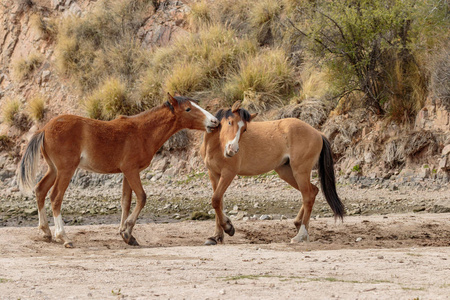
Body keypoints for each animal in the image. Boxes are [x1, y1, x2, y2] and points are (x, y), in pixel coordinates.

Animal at [18, 94, 219, 248]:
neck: (142, 131)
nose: (214, 121)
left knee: (40, 190)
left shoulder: (126, 173)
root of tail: (45, 128)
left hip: (53, 169)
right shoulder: (131, 170)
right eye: (188, 109)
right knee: (55, 197)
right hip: (65, 170)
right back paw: (64, 237)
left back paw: (45, 232)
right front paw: (127, 231)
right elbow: (142, 197)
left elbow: (125, 201)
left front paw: (126, 233)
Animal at [200, 102, 344, 245]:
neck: (216, 146)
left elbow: (215, 200)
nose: (232, 149)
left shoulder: (228, 174)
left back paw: (301, 235)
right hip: (286, 172)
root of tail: (318, 133)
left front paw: (228, 227)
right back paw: (299, 225)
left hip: (300, 172)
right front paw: (216, 236)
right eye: (230, 122)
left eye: (244, 129)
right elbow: (219, 203)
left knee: (308, 196)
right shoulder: (214, 174)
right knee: (313, 191)